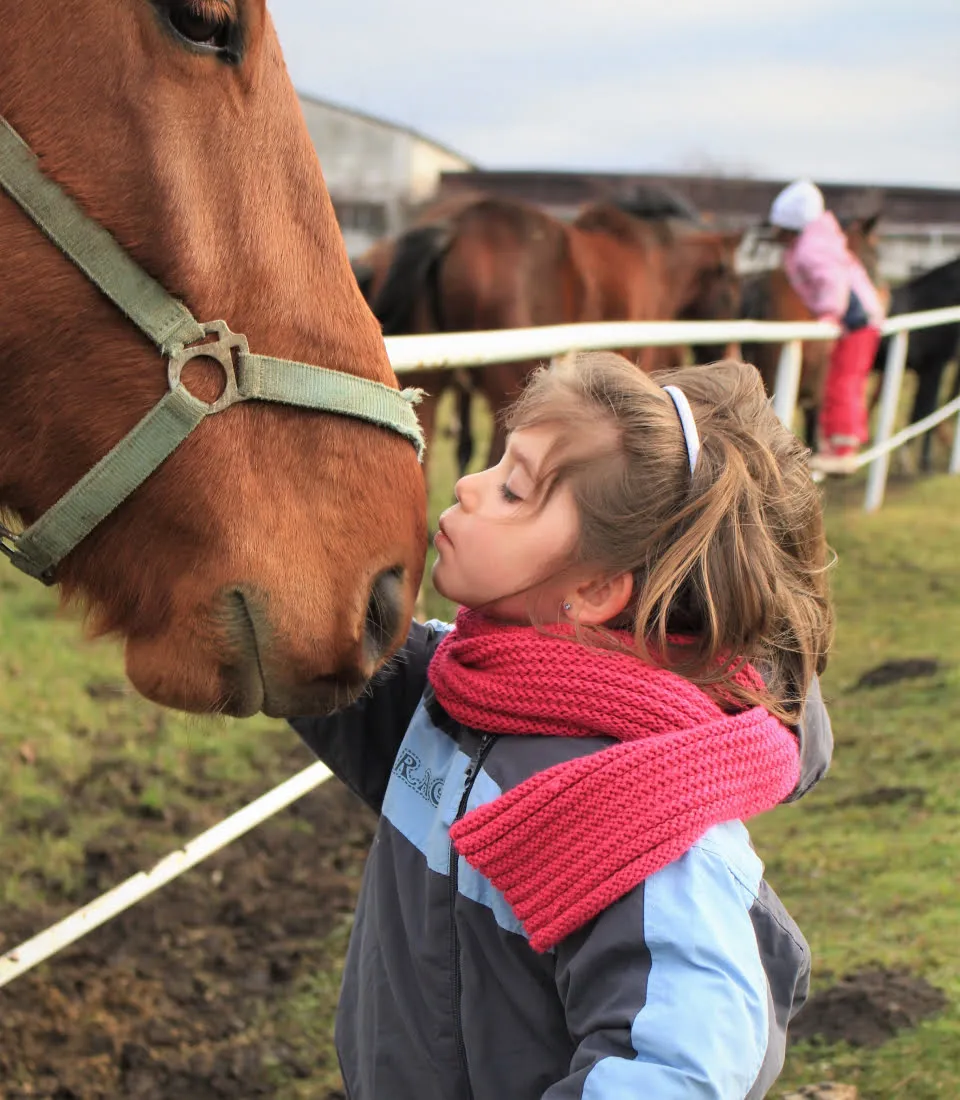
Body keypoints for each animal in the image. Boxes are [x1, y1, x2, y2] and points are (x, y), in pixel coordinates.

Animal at [359, 191, 742, 471]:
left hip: (433, 386)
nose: (729, 356)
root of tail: (454, 227)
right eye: (733, 288)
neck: (657, 261)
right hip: (507, 392)